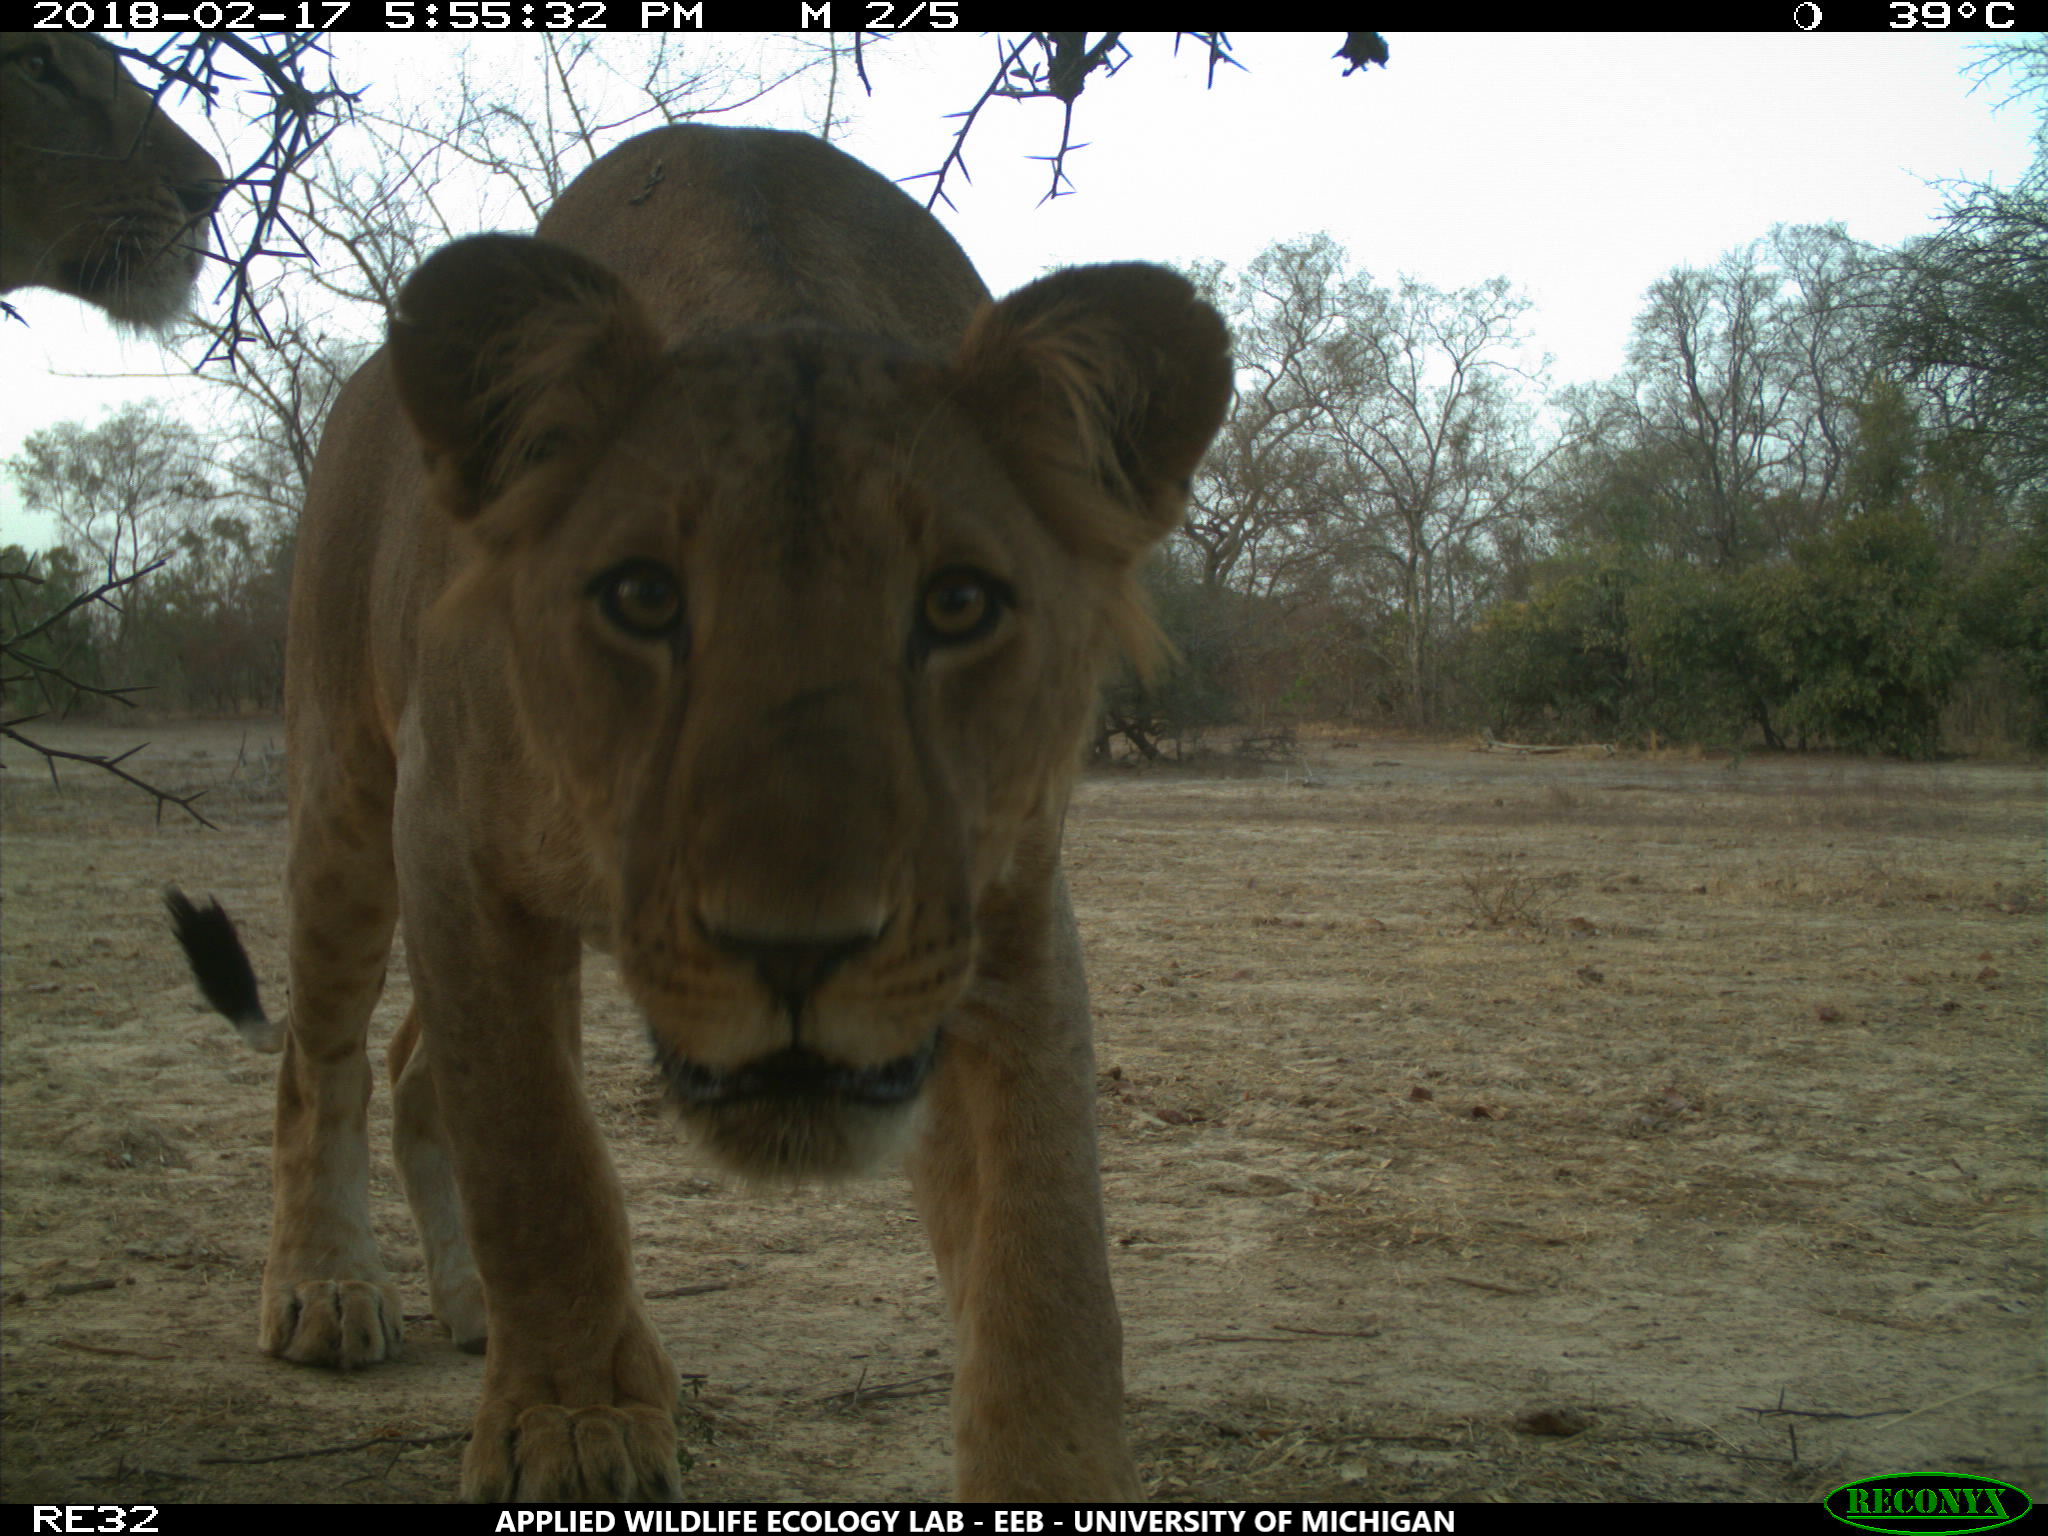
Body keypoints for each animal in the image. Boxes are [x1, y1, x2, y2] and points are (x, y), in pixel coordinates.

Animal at [167, 122, 1229, 1502]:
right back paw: (327, 1292)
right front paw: (573, 1426)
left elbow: (1044, 1246)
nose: (795, 951)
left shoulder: (1004, 903)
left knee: (414, 1070)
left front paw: (1052, 1477)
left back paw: (471, 1310)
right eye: (641, 598)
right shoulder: (452, 842)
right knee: (325, 1053)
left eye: (956, 605)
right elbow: (540, 1162)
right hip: (346, 799)